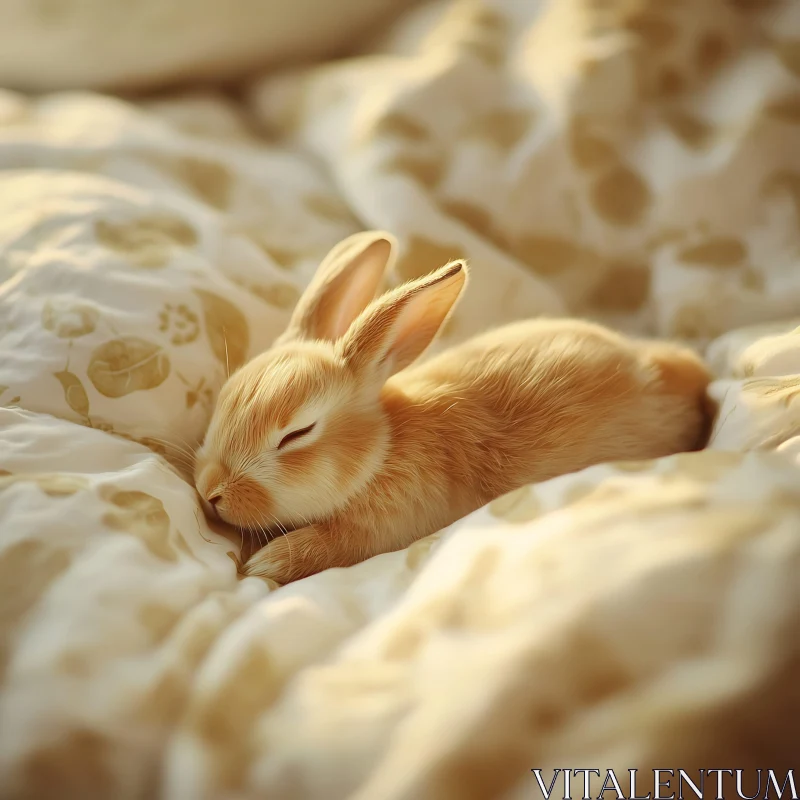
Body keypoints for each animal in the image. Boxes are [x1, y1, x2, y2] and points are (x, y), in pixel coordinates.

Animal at [194, 228, 712, 584]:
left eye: (297, 433)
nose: (209, 491)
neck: (382, 450)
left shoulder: (379, 528)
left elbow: (325, 544)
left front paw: (265, 563)